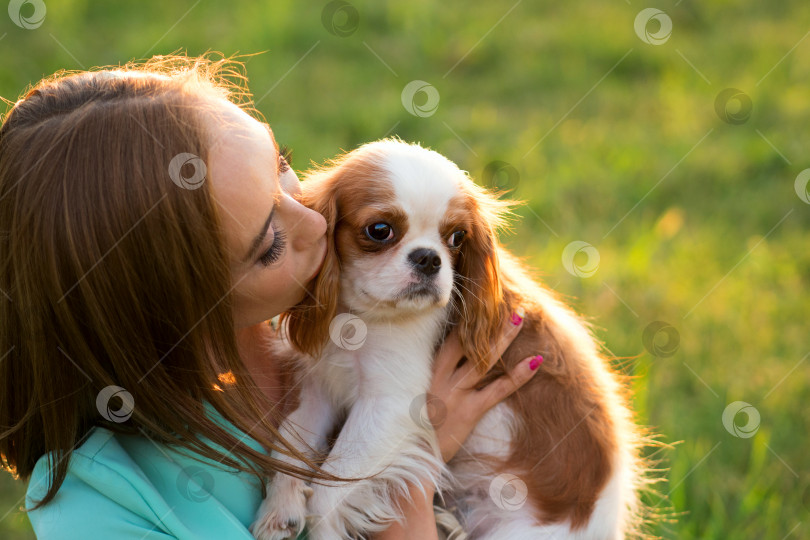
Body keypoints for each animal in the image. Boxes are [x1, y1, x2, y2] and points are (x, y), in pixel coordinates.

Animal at [249, 140, 640, 540]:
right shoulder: (319, 386)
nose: (428, 258)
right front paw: (281, 509)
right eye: (379, 230)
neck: (360, 316)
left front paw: (322, 528)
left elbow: (330, 489)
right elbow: (290, 444)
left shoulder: (389, 404)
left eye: (457, 238)